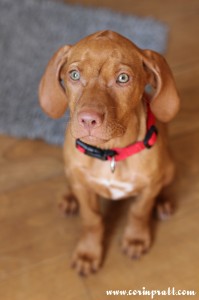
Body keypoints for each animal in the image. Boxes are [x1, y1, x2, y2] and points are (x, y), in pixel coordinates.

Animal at [38, 31, 180, 276]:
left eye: (123, 78)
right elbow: (92, 220)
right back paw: (69, 197)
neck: (111, 153)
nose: (88, 120)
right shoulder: (84, 189)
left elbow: (139, 211)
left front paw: (135, 239)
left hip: (168, 168)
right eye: (74, 75)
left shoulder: (149, 186)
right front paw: (88, 253)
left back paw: (161, 201)